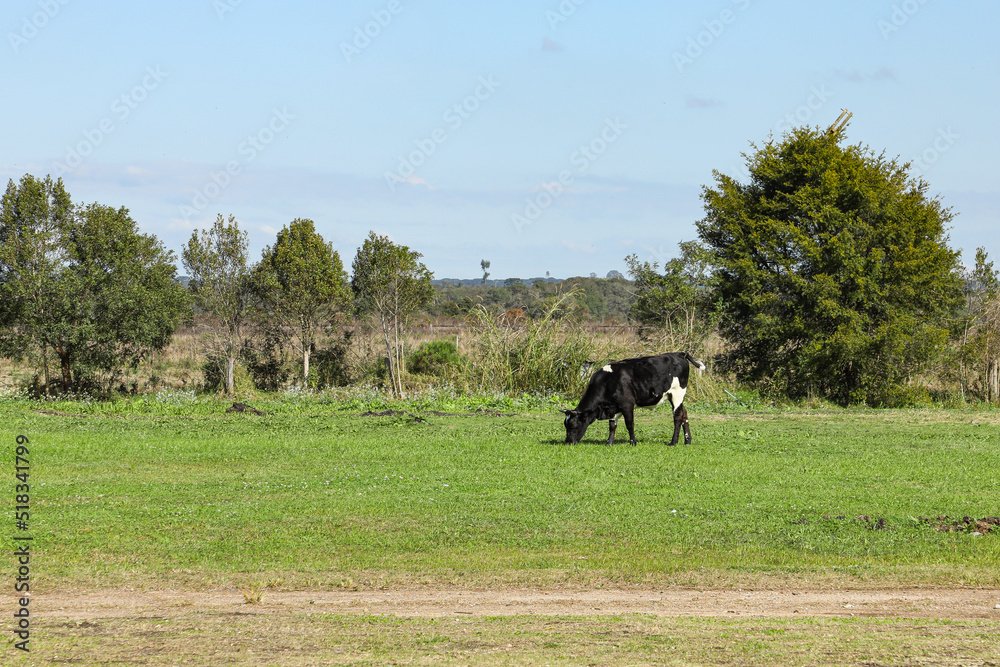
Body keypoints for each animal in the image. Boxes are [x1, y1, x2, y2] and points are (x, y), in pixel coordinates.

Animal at [561, 352, 706, 446]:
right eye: (565, 425)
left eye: (573, 424)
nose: (568, 442)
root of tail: (679, 353)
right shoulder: (613, 407)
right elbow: (612, 425)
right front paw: (609, 443)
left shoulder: (627, 404)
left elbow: (629, 424)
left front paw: (633, 442)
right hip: (674, 397)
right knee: (684, 414)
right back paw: (687, 441)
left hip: (677, 394)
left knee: (678, 417)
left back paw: (673, 442)